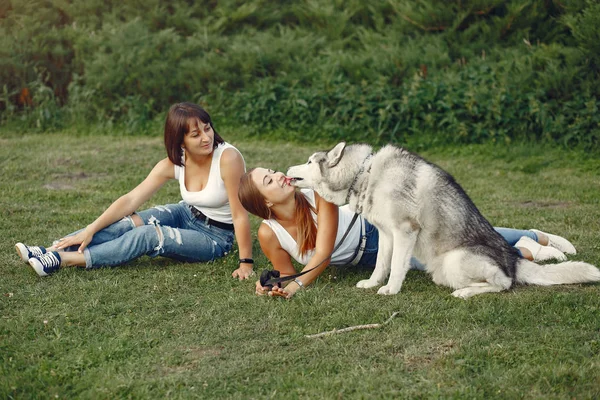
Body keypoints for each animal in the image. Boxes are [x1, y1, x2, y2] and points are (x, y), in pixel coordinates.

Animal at [288, 142, 600, 298]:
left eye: (308, 161)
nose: (288, 169)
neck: (364, 174)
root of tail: (513, 259)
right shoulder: (387, 235)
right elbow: (381, 265)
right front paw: (373, 283)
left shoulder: (405, 231)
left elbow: (397, 267)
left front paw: (391, 290)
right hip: (444, 269)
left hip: (456, 260)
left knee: (504, 283)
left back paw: (465, 292)